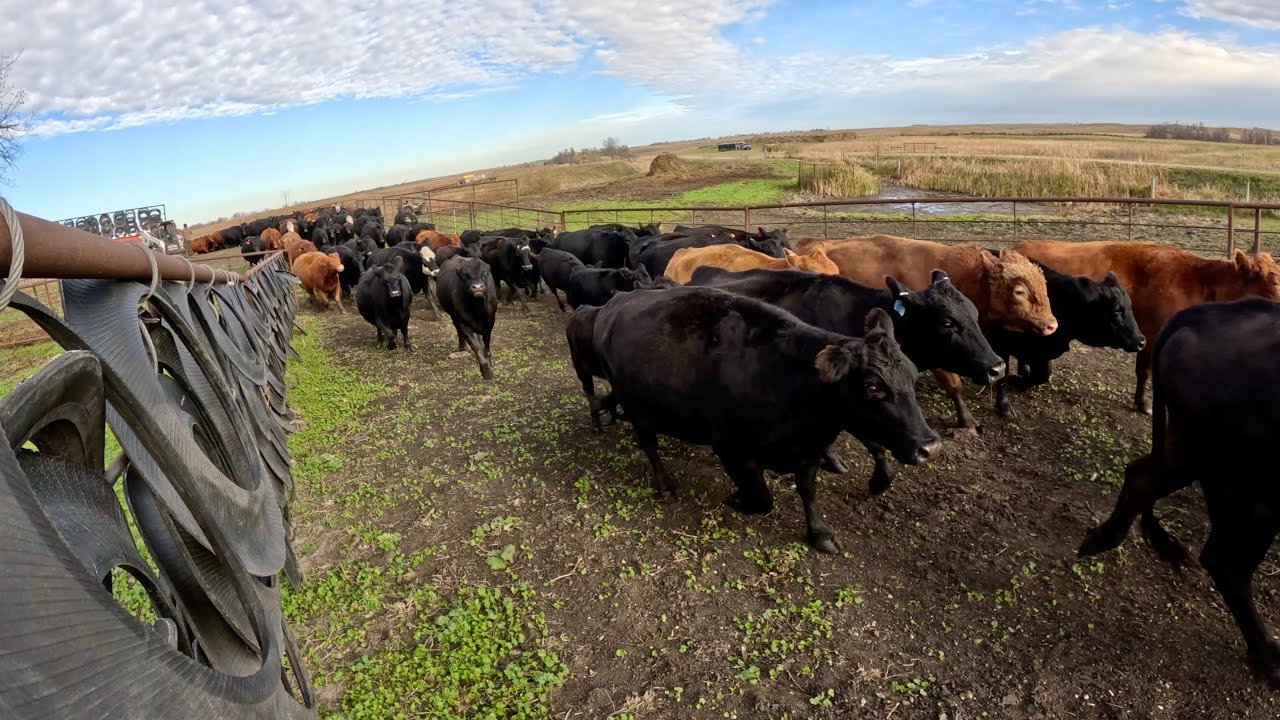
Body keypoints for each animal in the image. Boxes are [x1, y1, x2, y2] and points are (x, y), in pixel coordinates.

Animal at [593, 286, 941, 552]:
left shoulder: (808, 451)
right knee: (649, 445)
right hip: (637, 408)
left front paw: (820, 534)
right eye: (872, 386)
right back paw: (664, 483)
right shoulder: (733, 450)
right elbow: (763, 499)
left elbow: (808, 491)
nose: (931, 447)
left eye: (913, 375)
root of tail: (618, 301)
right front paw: (739, 498)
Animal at [798, 235, 1057, 430]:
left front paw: (1003, 407)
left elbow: (1000, 373)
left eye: (1044, 285)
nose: (1051, 324)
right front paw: (968, 421)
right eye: (1019, 291)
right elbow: (955, 385)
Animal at [987, 260, 1145, 419]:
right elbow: (1003, 376)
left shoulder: (1041, 352)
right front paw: (1004, 406)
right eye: (1116, 311)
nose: (1141, 341)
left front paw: (1020, 379)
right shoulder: (1001, 344)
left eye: (1130, 307)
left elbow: (1043, 374)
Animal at [1076, 297, 1280, 689]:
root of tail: (1208, 313)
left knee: (1140, 478)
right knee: (1226, 563)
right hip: (1246, 489)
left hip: (1189, 451)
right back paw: (1269, 657)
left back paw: (1099, 539)